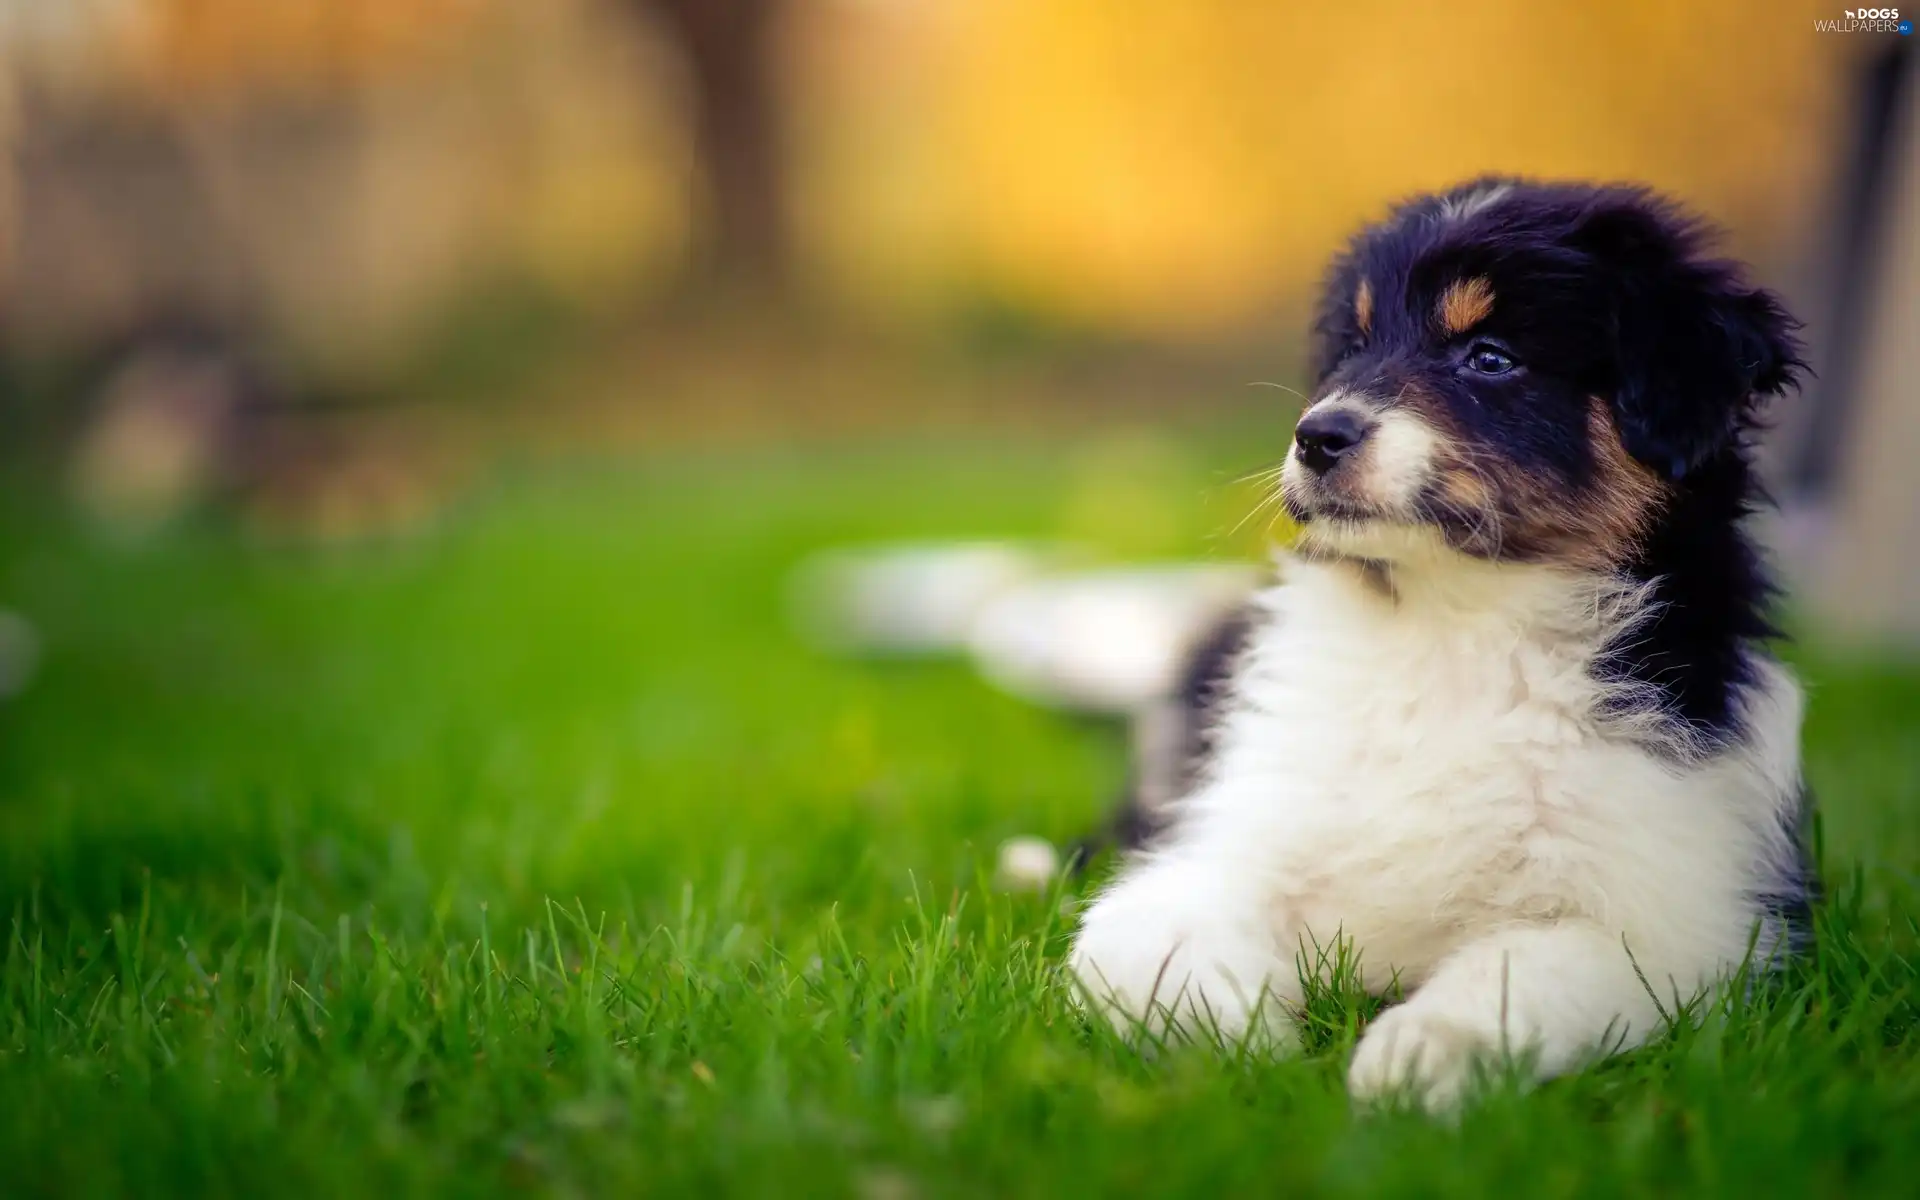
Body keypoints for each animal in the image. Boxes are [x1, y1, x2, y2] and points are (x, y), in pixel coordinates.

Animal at [1067, 175, 1812, 1105]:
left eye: (1489, 358)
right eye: (1353, 347)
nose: (1316, 437)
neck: (1452, 624)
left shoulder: (1673, 920)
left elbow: (1521, 971)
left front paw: (1416, 1060)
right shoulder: (1219, 841)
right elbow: (1151, 946)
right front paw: (1242, 1055)